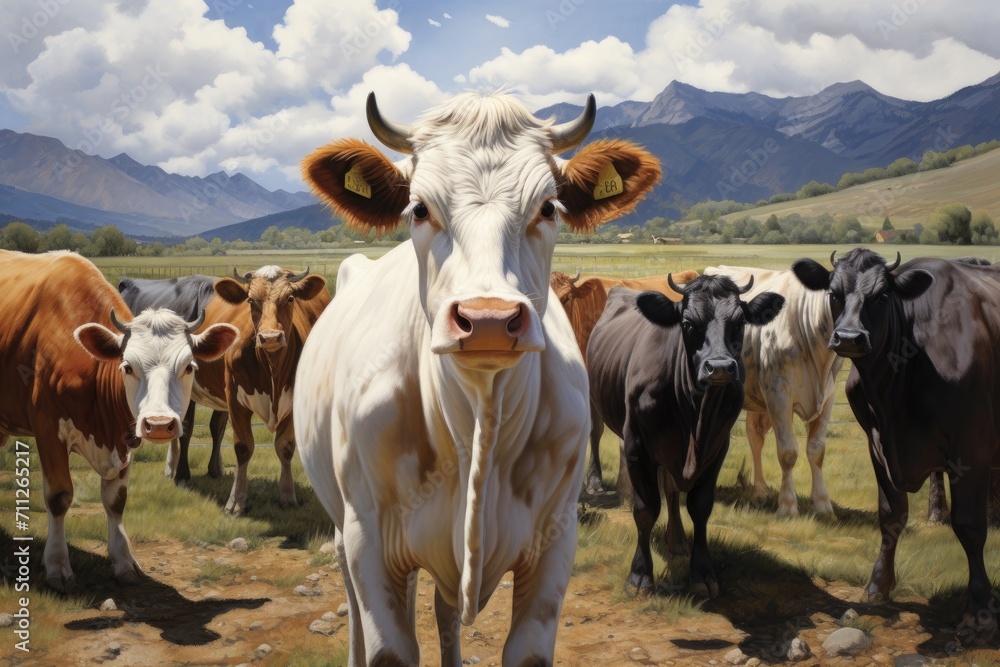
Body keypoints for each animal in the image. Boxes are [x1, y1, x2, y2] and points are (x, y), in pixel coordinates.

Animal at [178, 265, 331, 515]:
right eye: (250, 300)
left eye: (290, 298)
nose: (270, 337)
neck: (271, 369)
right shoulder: (235, 399)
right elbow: (243, 447)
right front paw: (236, 501)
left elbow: (285, 447)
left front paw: (288, 496)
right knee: (185, 426)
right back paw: (179, 473)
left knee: (216, 426)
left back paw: (214, 471)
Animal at [294, 91, 661, 666]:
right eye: (419, 208)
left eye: (548, 207)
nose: (487, 318)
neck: (476, 424)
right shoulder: (367, 537)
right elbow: (389, 650)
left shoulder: (556, 541)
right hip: (343, 527)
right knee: (354, 597)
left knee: (443, 608)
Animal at [588, 276, 784, 597]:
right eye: (688, 323)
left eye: (739, 322)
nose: (720, 367)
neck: (693, 414)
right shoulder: (637, 447)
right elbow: (645, 509)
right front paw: (640, 576)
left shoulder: (717, 448)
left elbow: (699, 506)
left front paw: (702, 573)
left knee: (671, 489)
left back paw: (677, 540)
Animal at [704, 265, 844, 516]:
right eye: (837, 293)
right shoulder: (778, 395)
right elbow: (788, 451)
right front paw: (787, 505)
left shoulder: (828, 396)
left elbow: (817, 451)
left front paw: (822, 503)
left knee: (754, 435)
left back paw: (760, 490)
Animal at [792, 249, 1000, 628]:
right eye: (833, 293)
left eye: (882, 296)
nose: (848, 337)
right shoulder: (877, 445)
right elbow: (890, 516)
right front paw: (877, 586)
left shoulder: (972, 448)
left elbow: (970, 525)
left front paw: (979, 605)